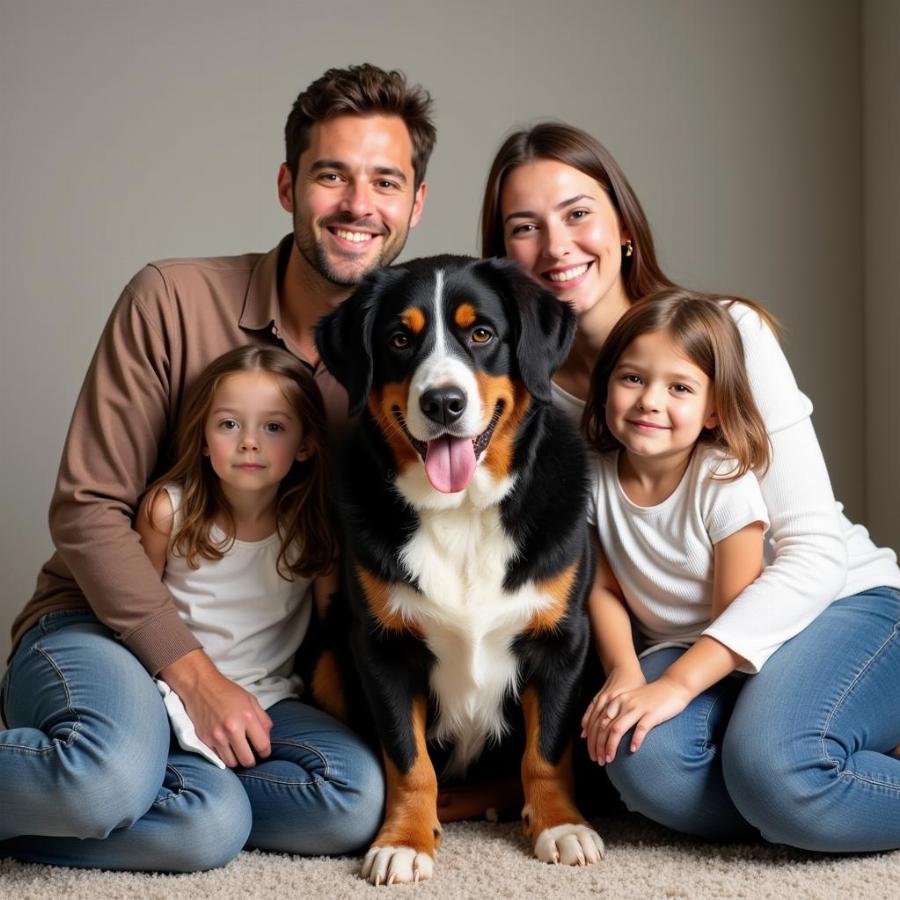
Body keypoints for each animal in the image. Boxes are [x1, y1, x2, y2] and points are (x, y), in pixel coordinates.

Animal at [312, 255, 600, 884]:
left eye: (482, 333)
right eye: (400, 339)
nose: (443, 402)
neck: (463, 512)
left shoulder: (562, 641)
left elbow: (546, 751)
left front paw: (560, 825)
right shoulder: (382, 646)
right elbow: (408, 760)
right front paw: (404, 840)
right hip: (325, 658)